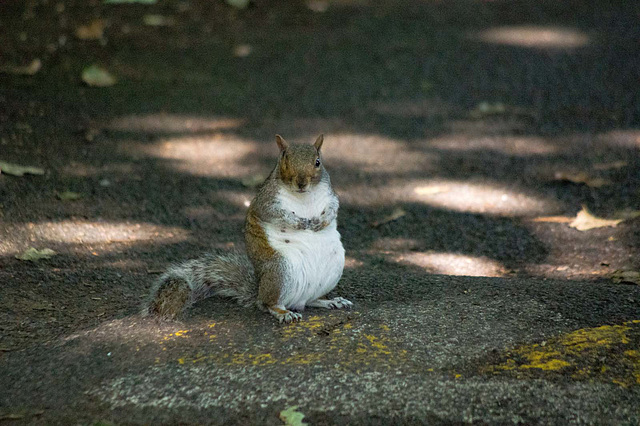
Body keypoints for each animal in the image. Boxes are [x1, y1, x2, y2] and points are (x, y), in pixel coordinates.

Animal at [143, 135, 352, 322]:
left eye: (317, 162)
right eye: (284, 160)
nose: (301, 183)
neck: (304, 196)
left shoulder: (330, 195)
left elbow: (334, 207)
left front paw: (321, 222)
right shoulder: (266, 202)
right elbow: (276, 214)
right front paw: (300, 223)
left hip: (332, 270)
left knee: (310, 300)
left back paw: (330, 301)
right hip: (279, 270)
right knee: (267, 304)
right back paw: (283, 312)